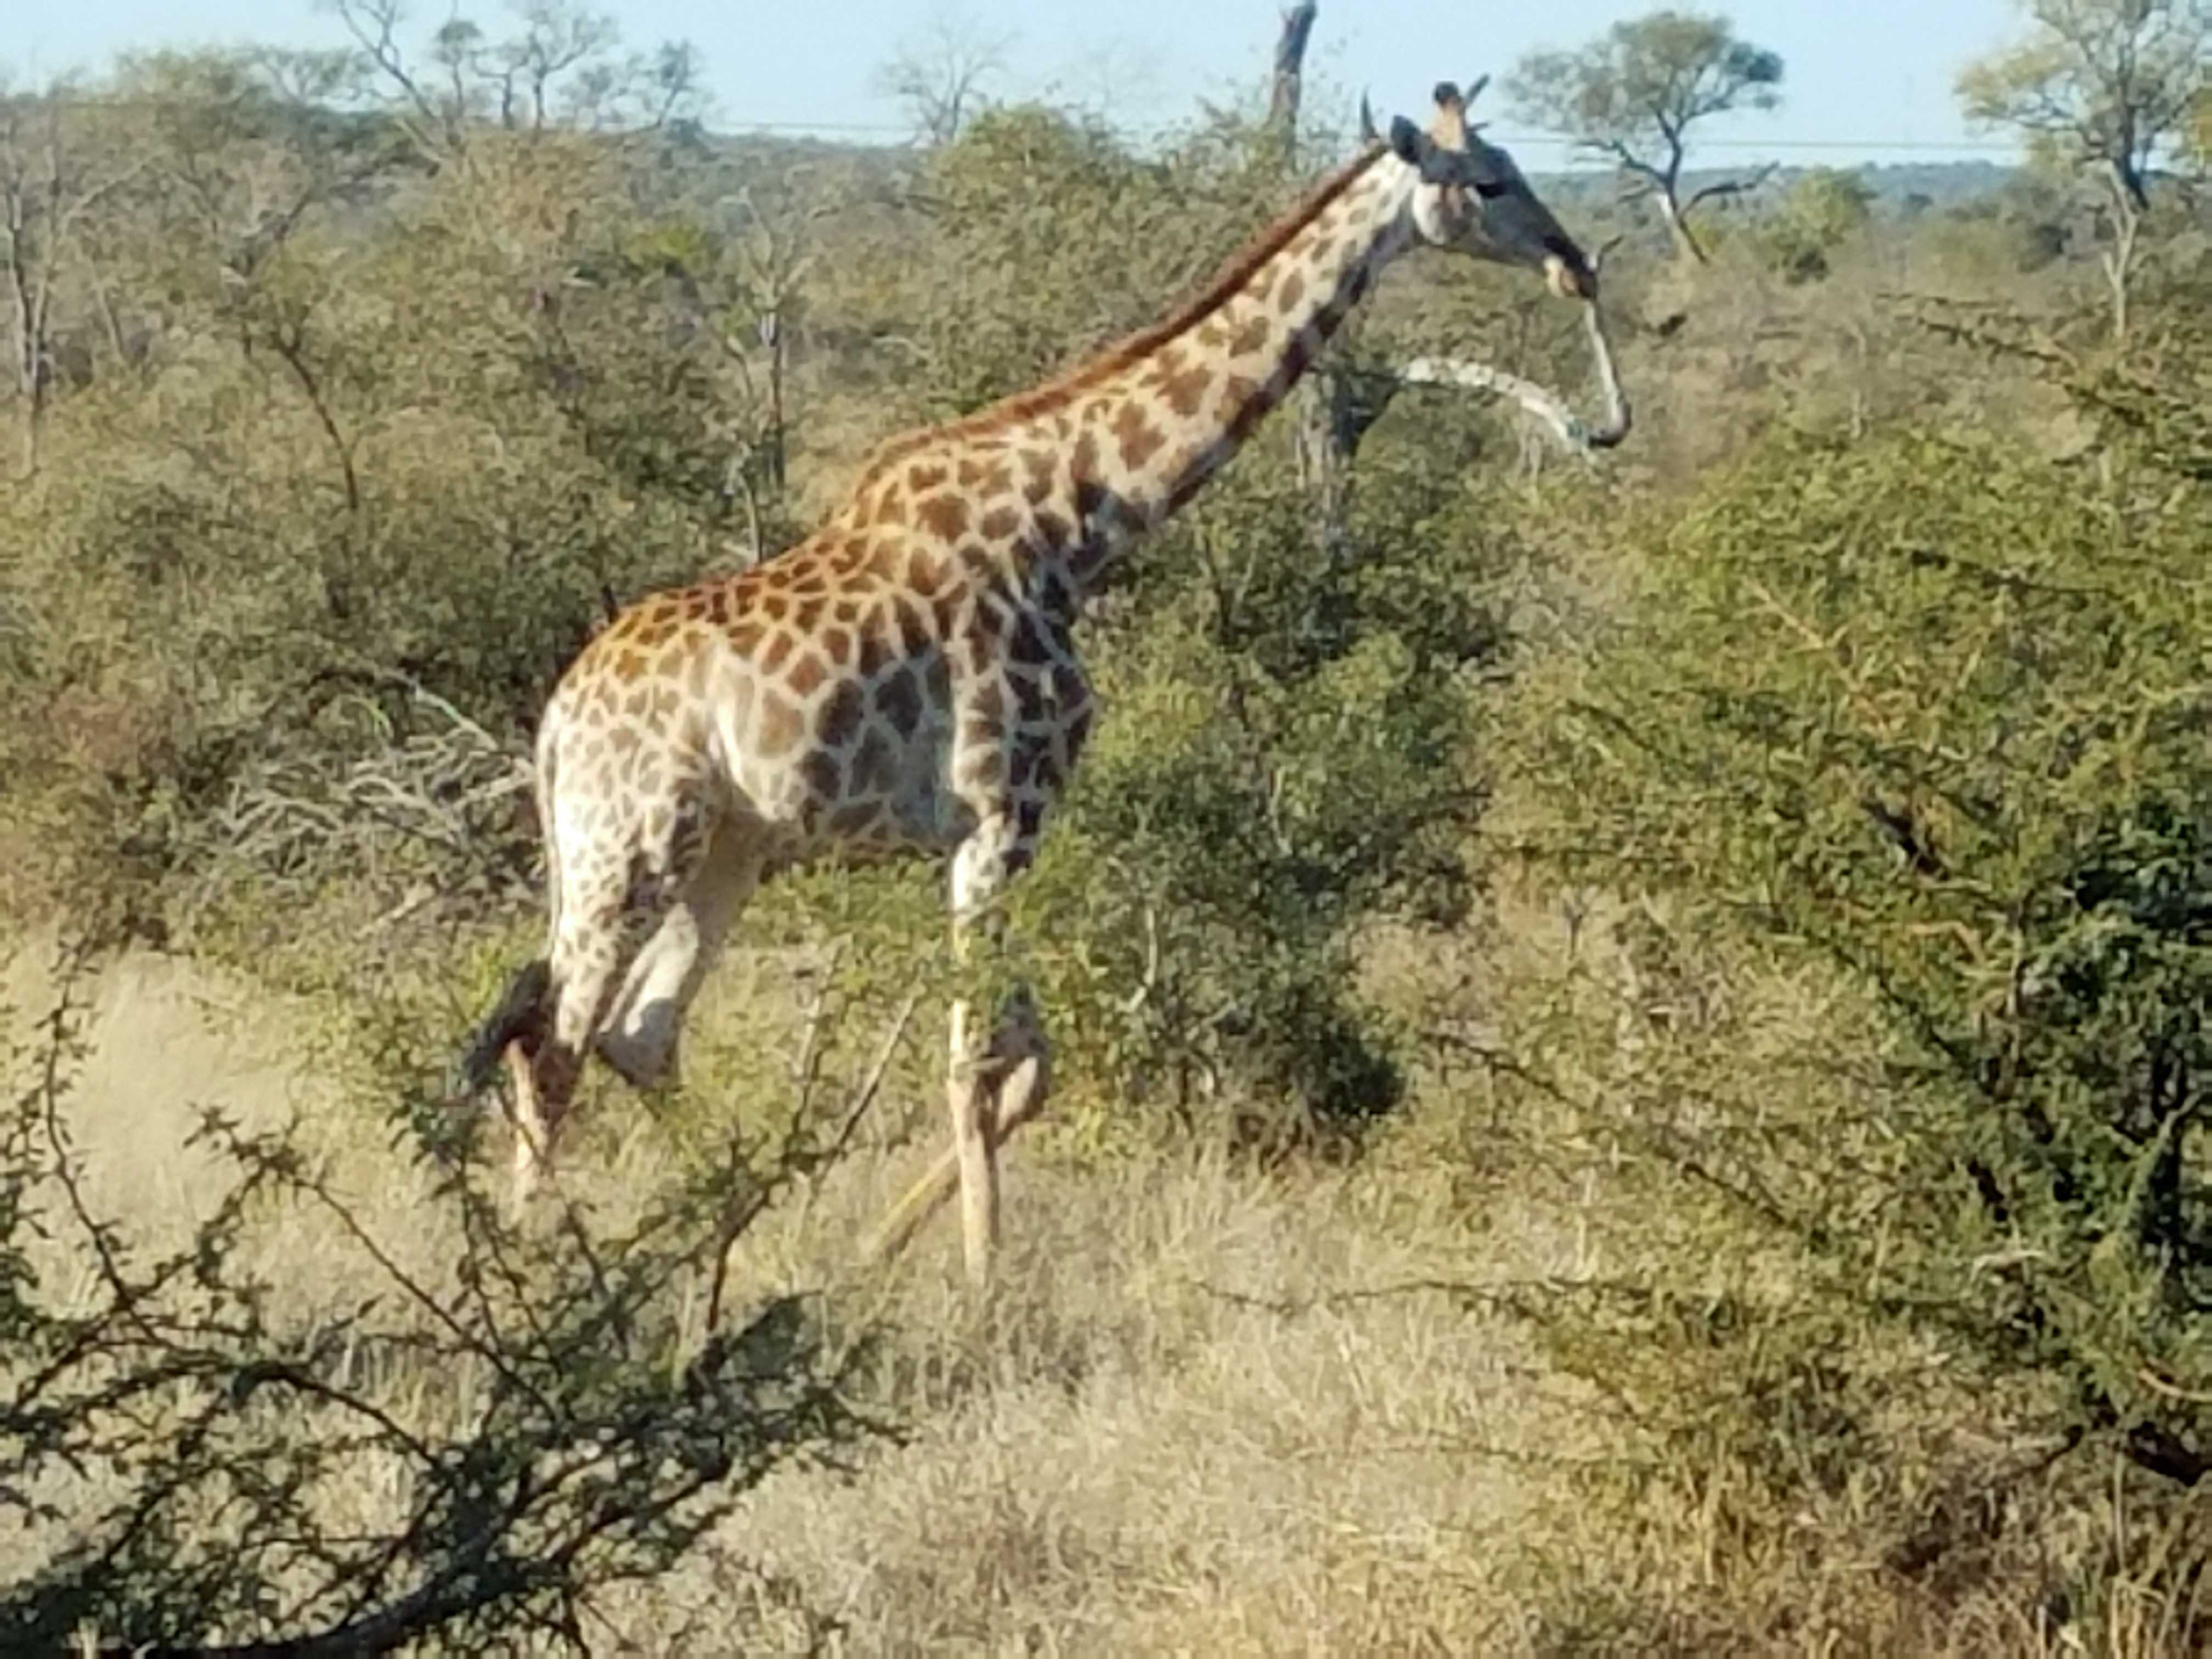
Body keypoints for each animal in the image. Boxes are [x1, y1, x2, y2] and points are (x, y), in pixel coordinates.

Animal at [458, 81, 1628, 1282]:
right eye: (1489, 180)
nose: (1574, 265)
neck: (1079, 524)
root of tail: (556, 723)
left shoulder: (1007, 826)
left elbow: (1030, 1062)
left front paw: (880, 1248)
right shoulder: (1002, 810)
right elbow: (974, 1062)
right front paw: (984, 1285)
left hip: (732, 846)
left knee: (637, 1034)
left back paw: (728, 1237)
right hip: (633, 839)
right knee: (556, 1041)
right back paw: (546, 1260)